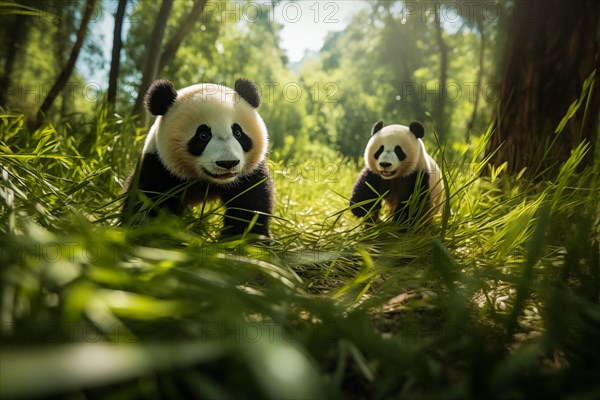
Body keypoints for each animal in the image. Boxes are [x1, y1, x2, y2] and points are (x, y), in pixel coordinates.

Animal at [123, 78, 274, 238]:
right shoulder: (158, 168)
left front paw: (247, 238)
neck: (207, 181)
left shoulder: (248, 175)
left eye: (238, 133)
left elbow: (249, 207)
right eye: (203, 135)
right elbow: (148, 203)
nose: (228, 163)